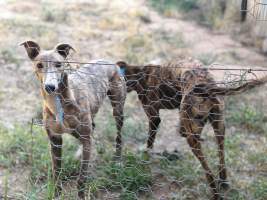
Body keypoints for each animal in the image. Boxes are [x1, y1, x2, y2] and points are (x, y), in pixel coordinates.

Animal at [117, 58, 267, 200]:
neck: (138, 73)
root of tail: (206, 87)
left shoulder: (154, 117)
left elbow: (149, 143)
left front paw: (145, 158)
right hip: (219, 127)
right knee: (221, 158)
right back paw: (223, 182)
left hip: (193, 140)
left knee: (208, 172)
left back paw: (216, 194)